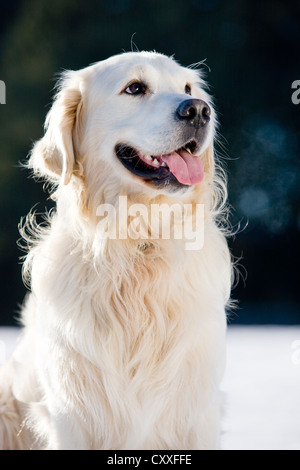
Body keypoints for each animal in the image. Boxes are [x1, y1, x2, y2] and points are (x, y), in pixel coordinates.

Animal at [0, 49, 232, 450]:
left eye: (188, 88)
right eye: (135, 88)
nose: (199, 111)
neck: (138, 244)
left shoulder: (196, 412)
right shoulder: (72, 413)